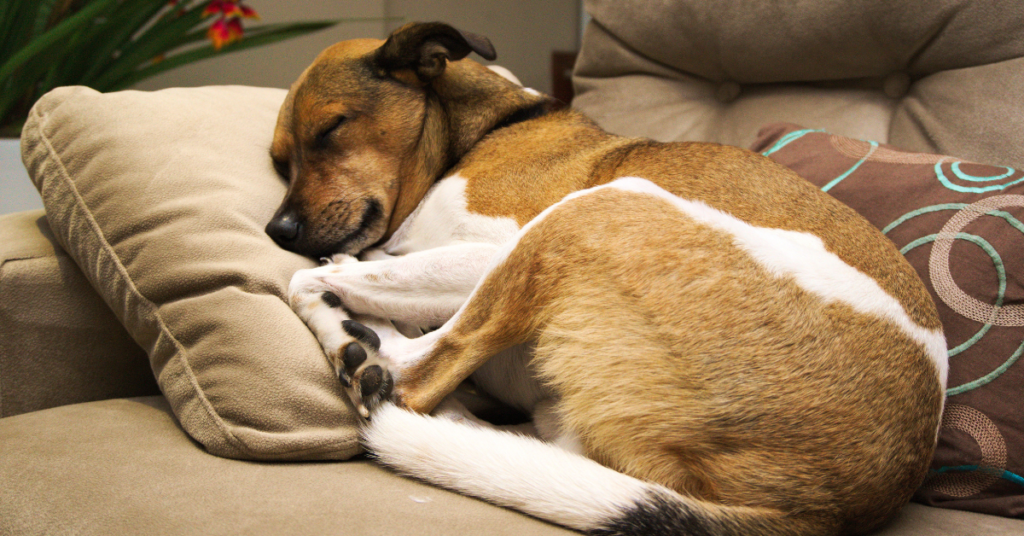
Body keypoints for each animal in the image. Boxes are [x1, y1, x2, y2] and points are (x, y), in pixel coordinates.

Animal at [268, 22, 946, 536]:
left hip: (590, 212)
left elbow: (342, 281)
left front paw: (348, 298)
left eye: (331, 130)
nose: (278, 230)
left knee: (409, 378)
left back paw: (357, 341)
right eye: (279, 162)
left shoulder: (490, 250)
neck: (487, 131)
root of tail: (826, 511)